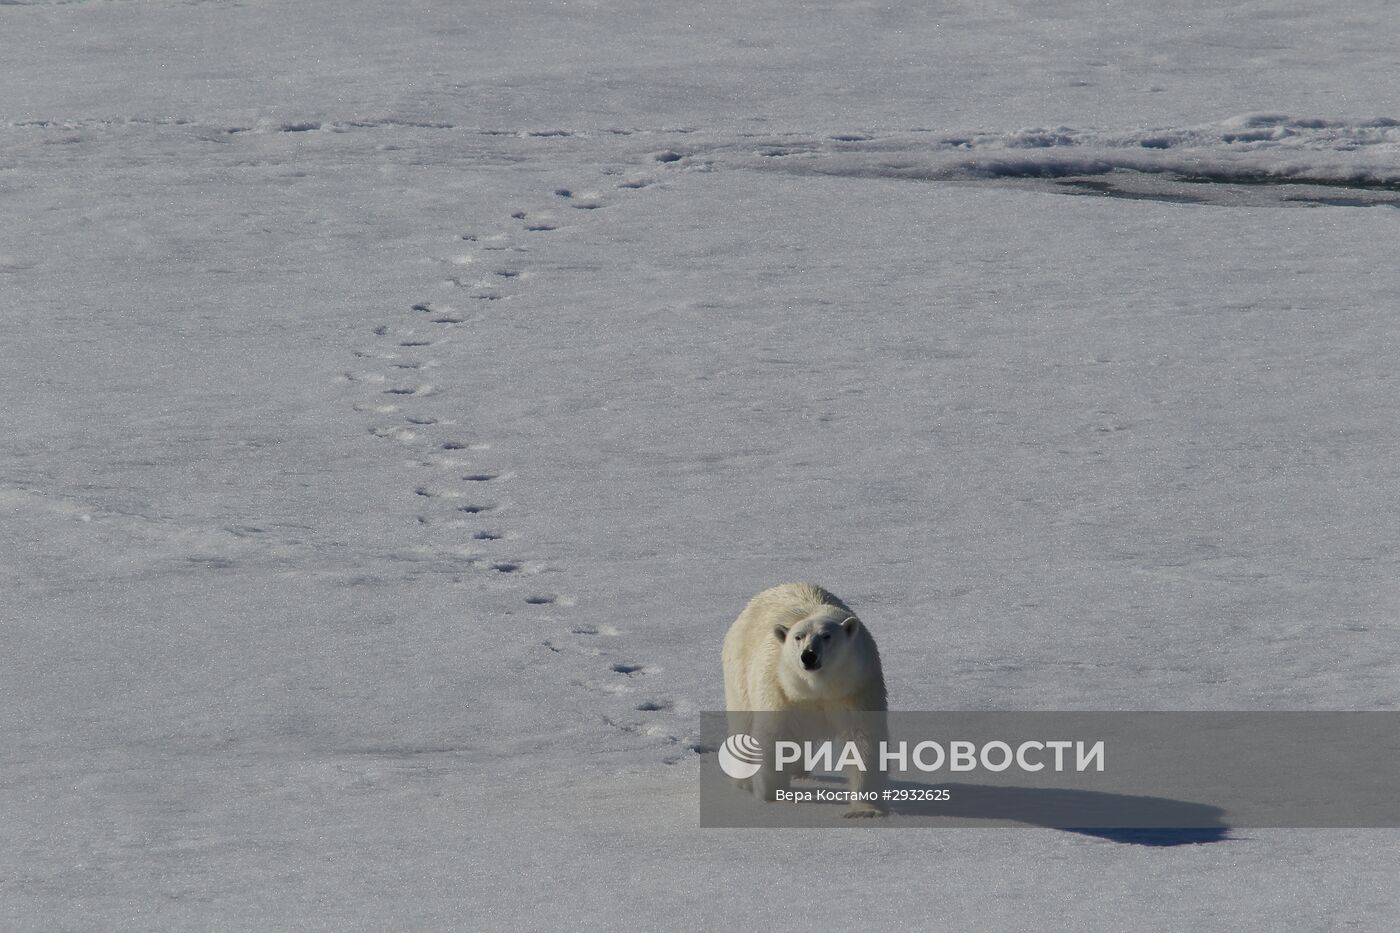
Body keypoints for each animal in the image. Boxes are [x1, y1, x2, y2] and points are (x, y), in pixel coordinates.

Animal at [722, 582, 884, 812]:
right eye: (798, 637)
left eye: (826, 635)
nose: (808, 655)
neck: (817, 689)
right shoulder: (779, 689)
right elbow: (774, 735)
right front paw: (772, 796)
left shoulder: (856, 688)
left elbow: (864, 738)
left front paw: (865, 807)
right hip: (739, 671)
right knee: (742, 723)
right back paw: (744, 780)